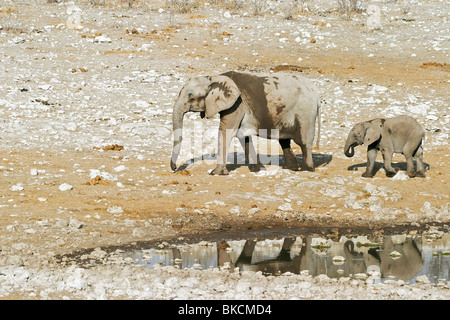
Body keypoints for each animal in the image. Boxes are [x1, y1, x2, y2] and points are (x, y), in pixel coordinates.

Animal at [171, 70, 322, 175]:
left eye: (190, 96)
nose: (175, 168)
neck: (215, 78)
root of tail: (316, 93)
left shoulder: (237, 104)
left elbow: (226, 132)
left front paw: (216, 173)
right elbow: (243, 136)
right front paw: (259, 170)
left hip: (305, 112)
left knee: (304, 142)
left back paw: (306, 169)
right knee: (284, 140)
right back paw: (291, 168)